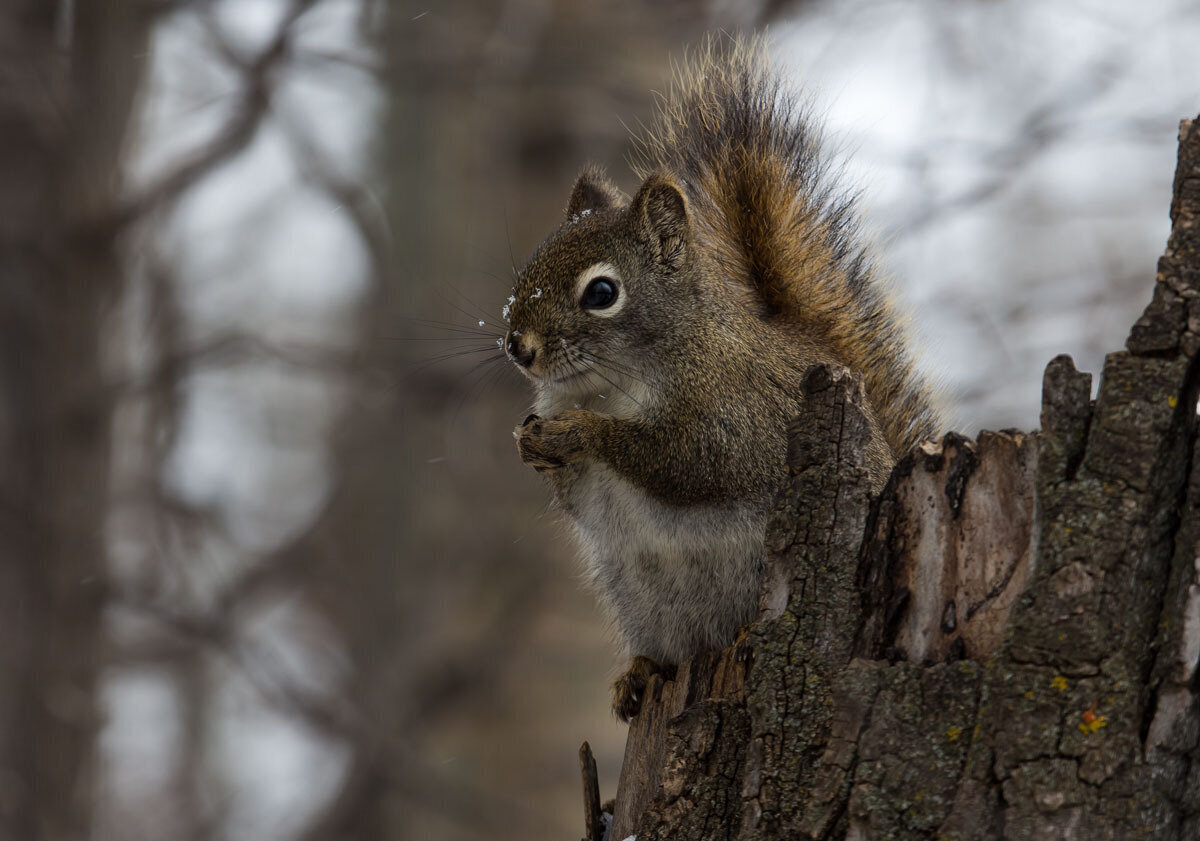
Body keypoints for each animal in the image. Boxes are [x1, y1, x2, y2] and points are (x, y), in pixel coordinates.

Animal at [501, 31, 940, 715]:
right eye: (529, 268)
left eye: (601, 292)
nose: (518, 347)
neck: (607, 385)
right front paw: (531, 444)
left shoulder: (737, 412)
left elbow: (692, 461)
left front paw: (582, 435)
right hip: (640, 600)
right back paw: (642, 672)